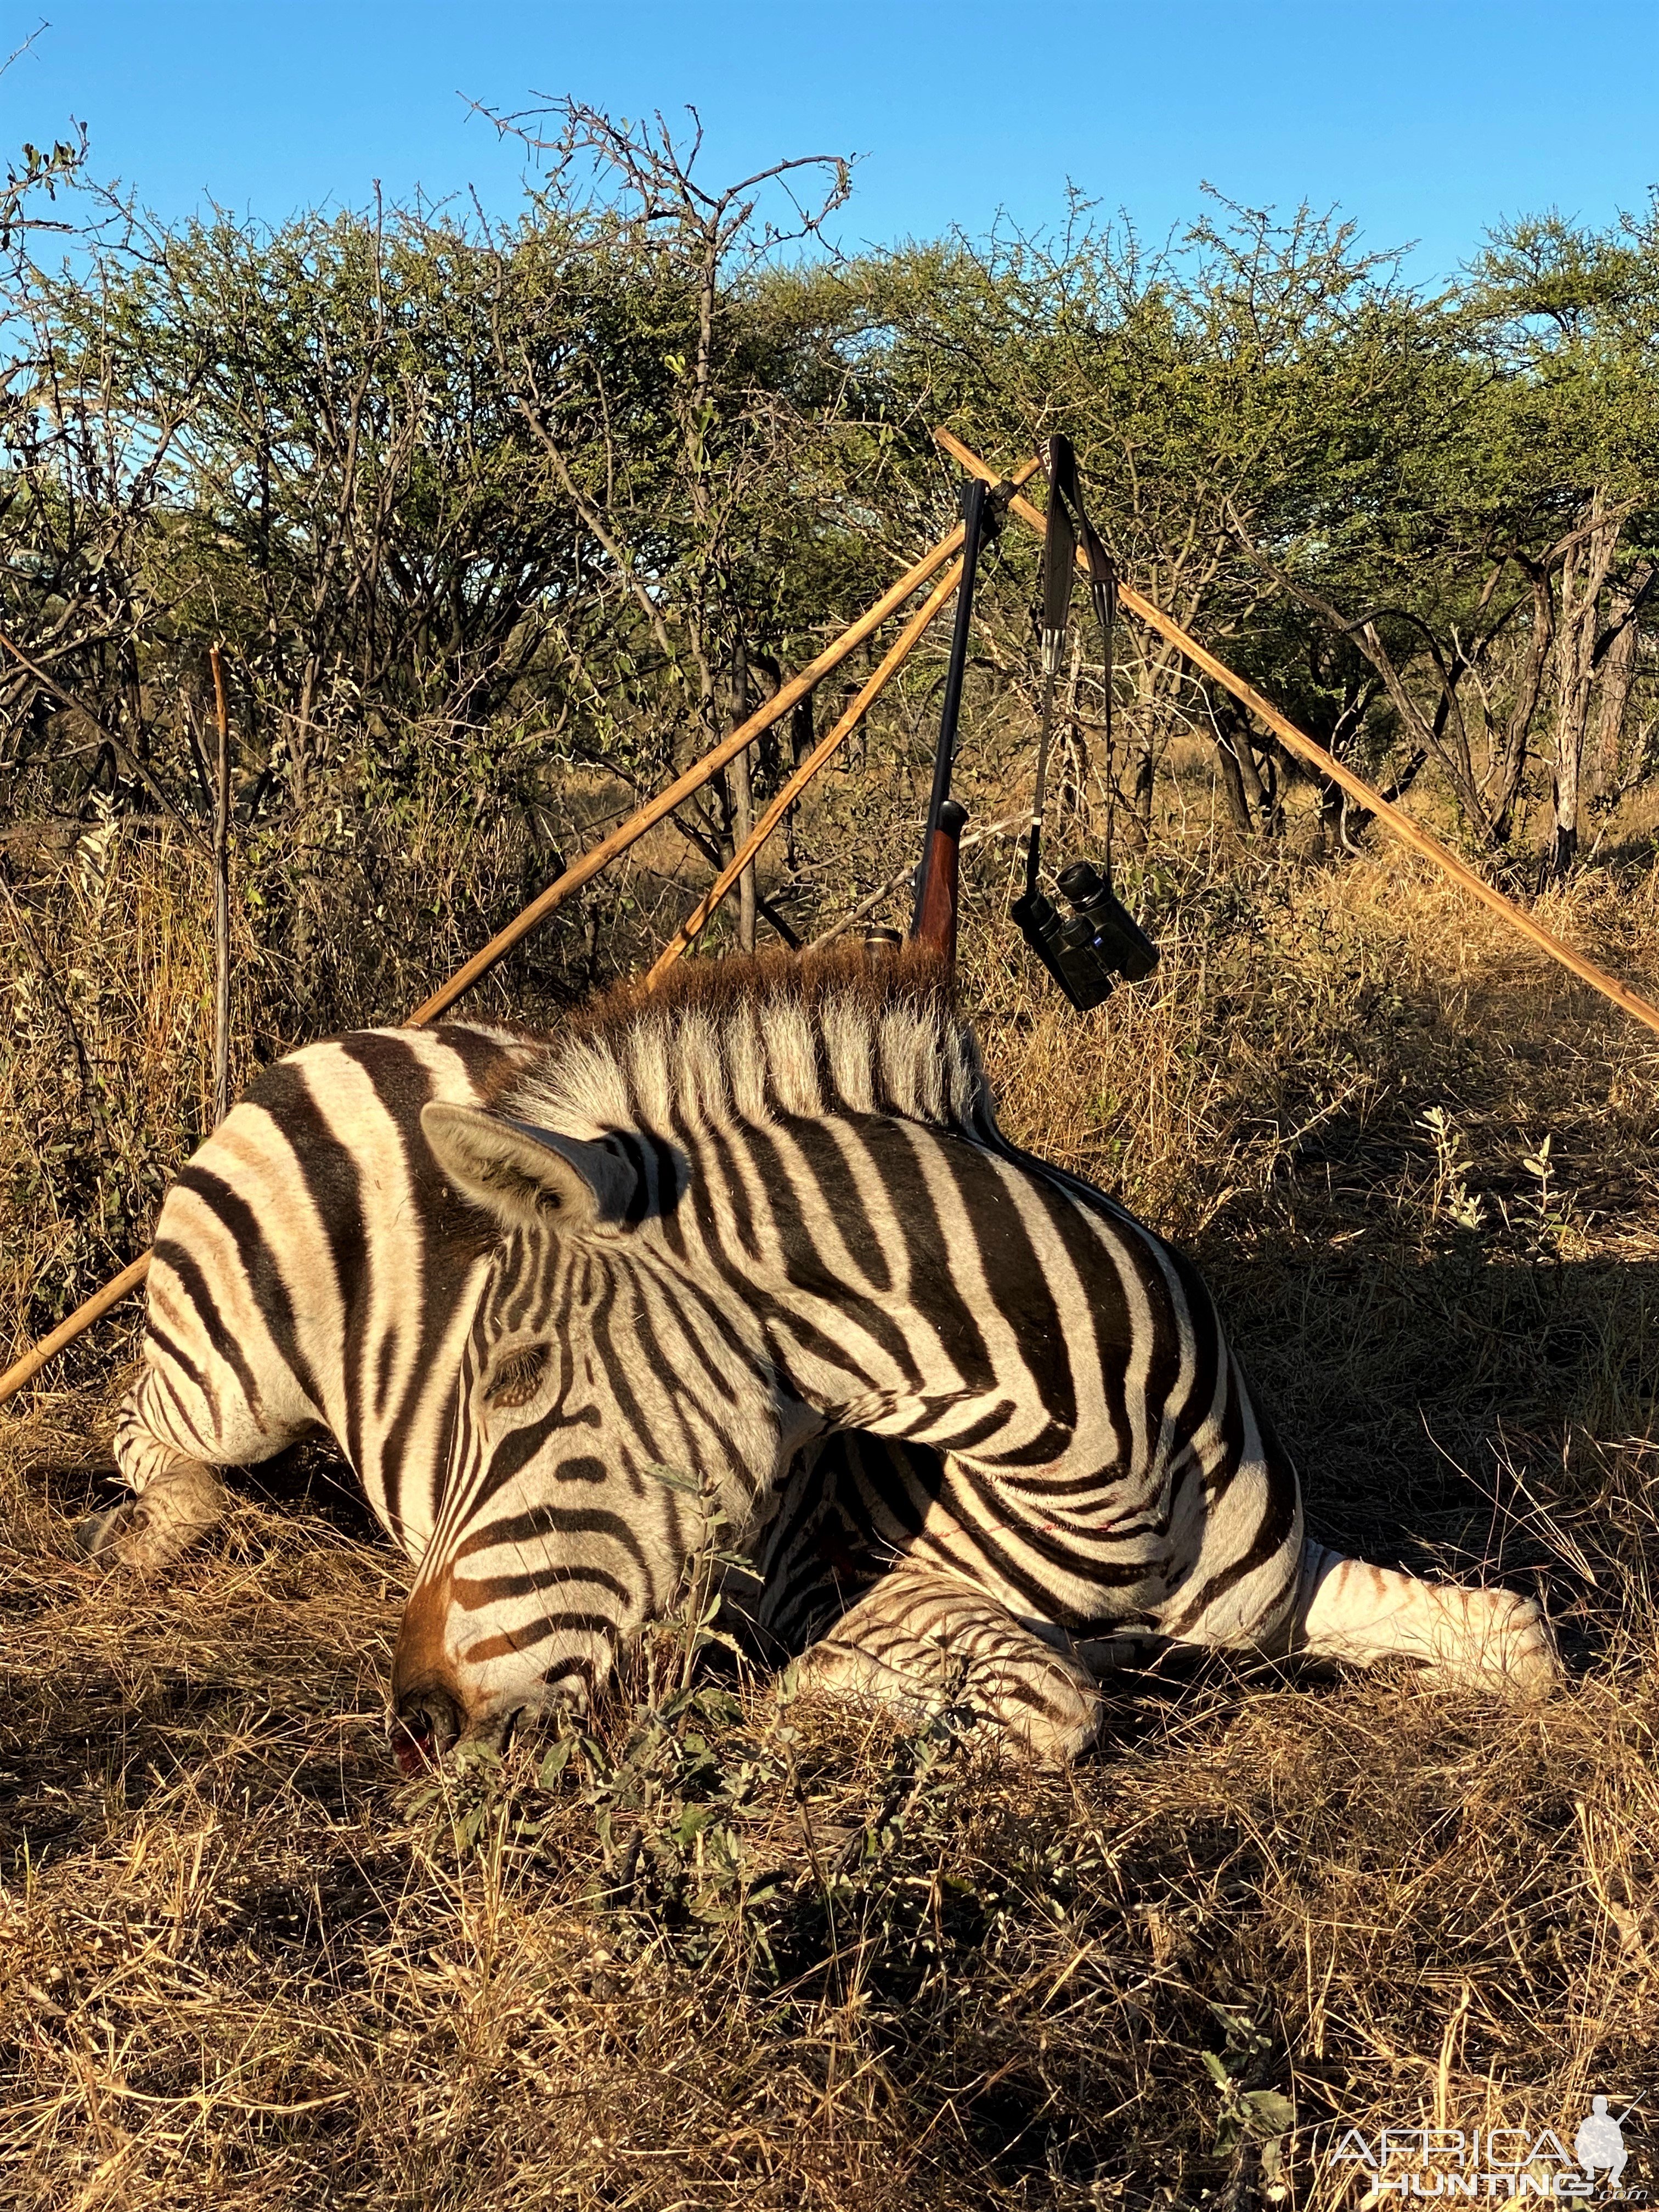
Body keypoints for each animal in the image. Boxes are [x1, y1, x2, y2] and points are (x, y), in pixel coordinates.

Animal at [91, 938, 1566, 1760]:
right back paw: (168, 1530)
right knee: (139, 1421)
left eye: (517, 1391)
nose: (412, 1725)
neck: (1122, 1475)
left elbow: (1523, 1638)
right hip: (234, 1383)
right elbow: (1051, 1699)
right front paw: (813, 1701)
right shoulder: (847, 1585)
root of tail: (353, 1033)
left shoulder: (1273, 1589)